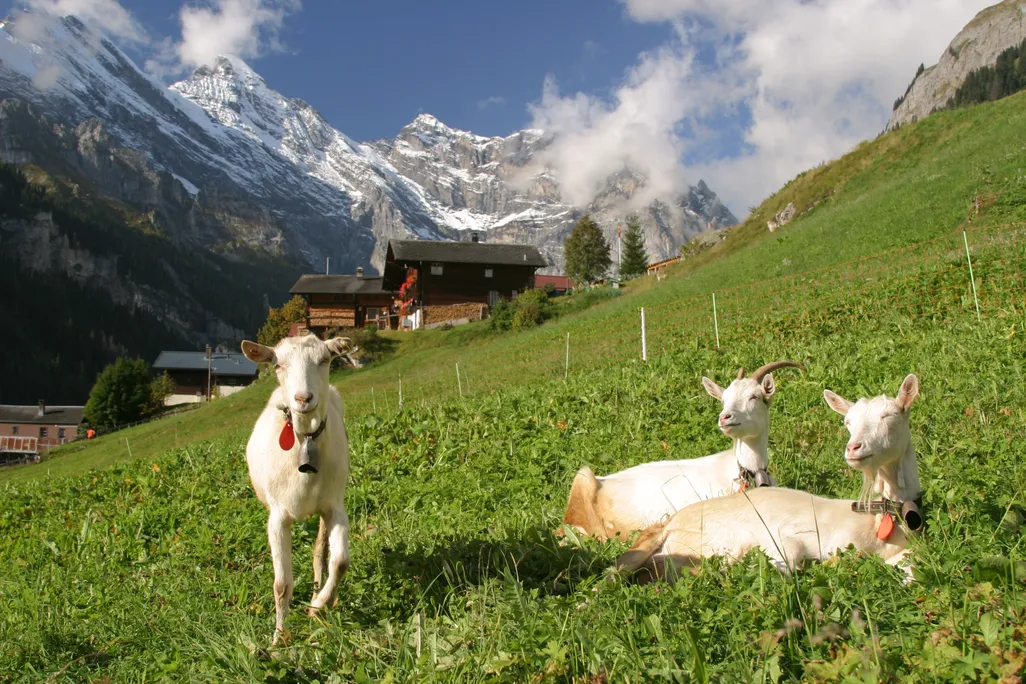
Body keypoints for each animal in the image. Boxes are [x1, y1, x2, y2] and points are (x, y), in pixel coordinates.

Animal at [240, 334, 354, 645]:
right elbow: (281, 584)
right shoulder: (278, 517)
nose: (303, 399)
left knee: (320, 552)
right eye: (277, 364)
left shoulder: (335, 506)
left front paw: (318, 606)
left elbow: (340, 562)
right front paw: (278, 639)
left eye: (324, 359)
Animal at [615, 374, 923, 582]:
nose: (853, 448)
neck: (875, 523)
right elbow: (789, 560)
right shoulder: (789, 537)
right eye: (848, 422)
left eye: (889, 416)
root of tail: (668, 524)